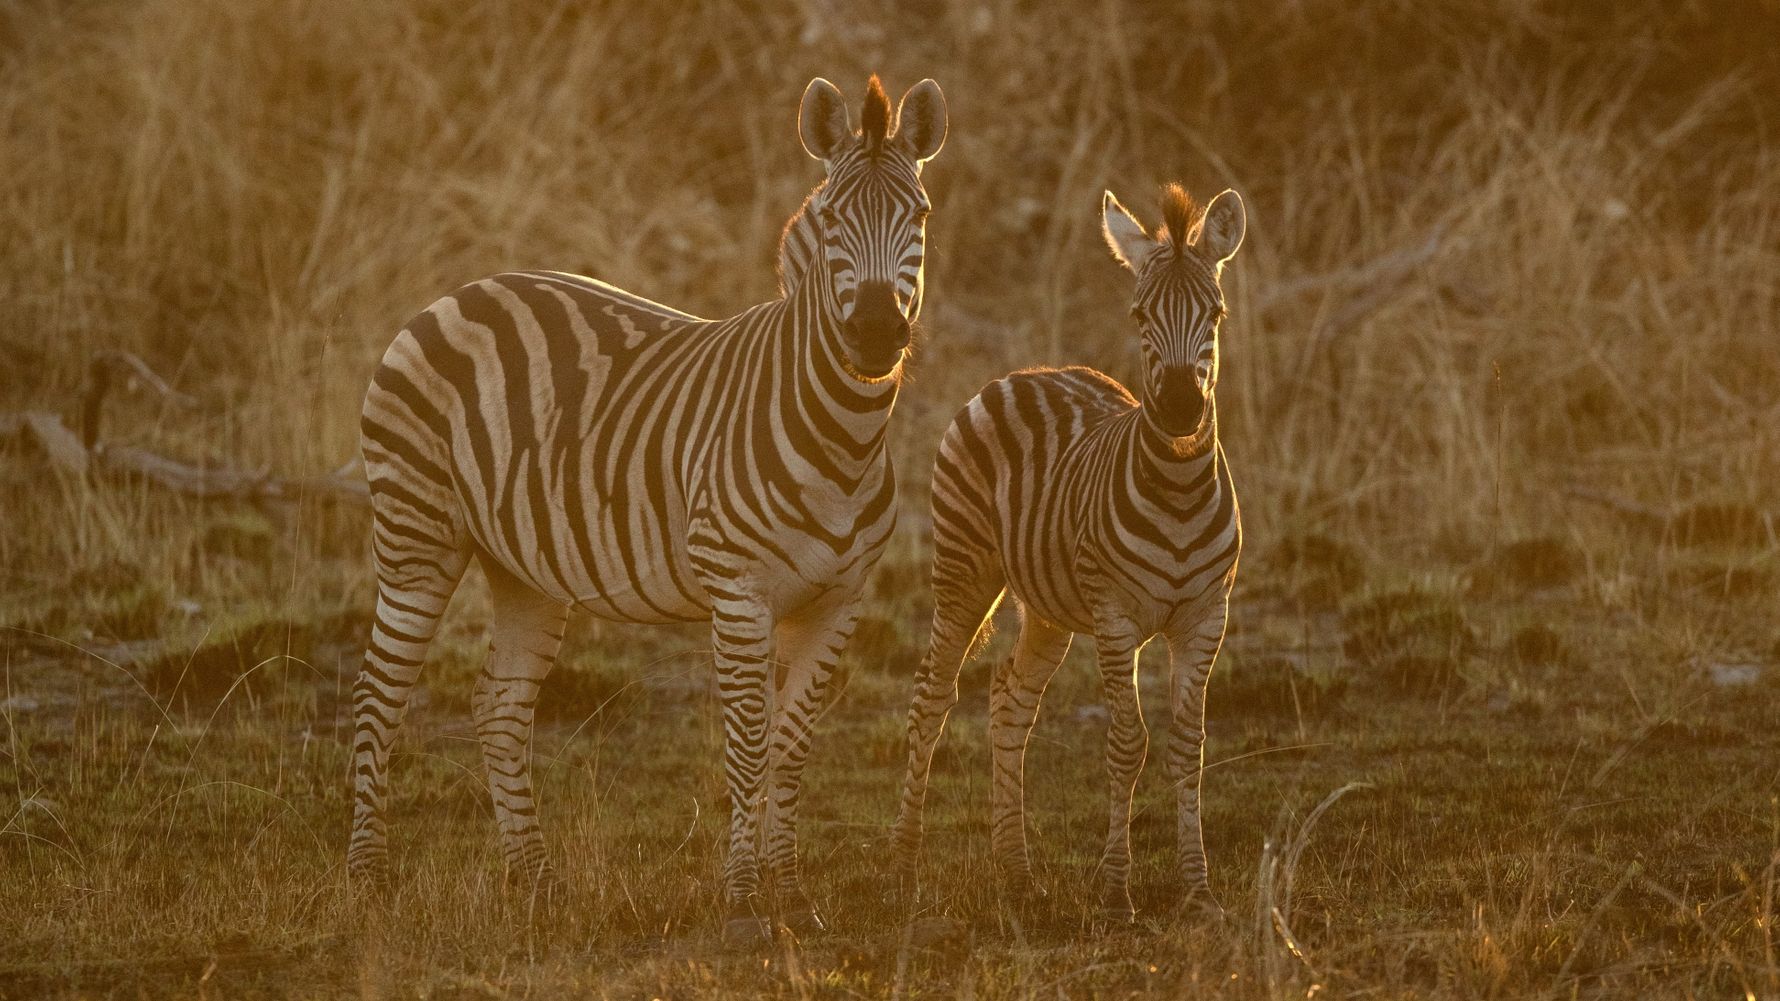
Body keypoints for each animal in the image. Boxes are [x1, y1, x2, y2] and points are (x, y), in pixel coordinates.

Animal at [348, 75, 947, 943]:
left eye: (921, 215)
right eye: (835, 218)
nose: (872, 334)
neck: (844, 438)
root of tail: (454, 294)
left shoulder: (840, 601)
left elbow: (793, 745)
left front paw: (791, 891)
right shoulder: (739, 594)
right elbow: (750, 744)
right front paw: (742, 903)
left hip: (525, 567)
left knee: (498, 706)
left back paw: (538, 881)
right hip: (416, 538)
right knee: (376, 695)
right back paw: (369, 878)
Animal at [890, 184, 1246, 920]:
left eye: (1216, 313)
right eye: (1140, 314)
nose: (1177, 410)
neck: (1178, 489)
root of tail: (1026, 372)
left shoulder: (1206, 617)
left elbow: (1188, 746)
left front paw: (1197, 891)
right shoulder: (1116, 618)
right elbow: (1127, 744)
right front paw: (1115, 893)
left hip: (1048, 607)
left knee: (1008, 696)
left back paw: (1016, 870)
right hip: (964, 571)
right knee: (931, 697)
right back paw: (904, 869)